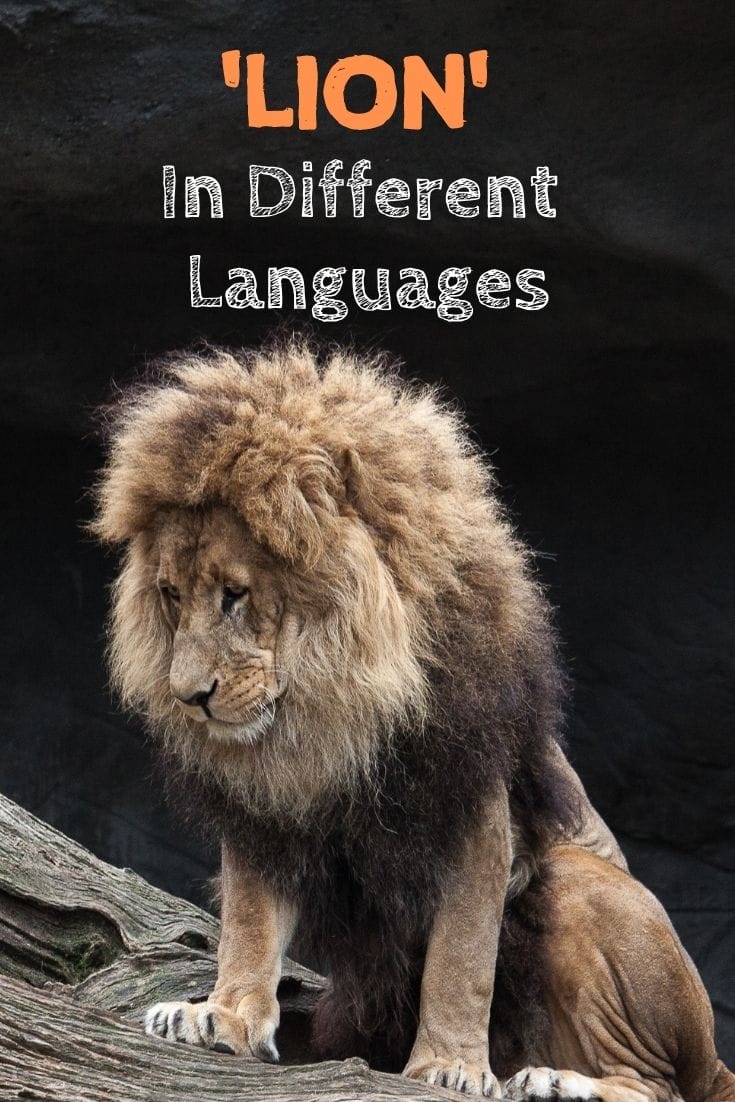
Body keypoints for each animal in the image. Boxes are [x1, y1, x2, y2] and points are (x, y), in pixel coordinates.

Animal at [92, 344, 733, 1101]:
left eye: (234, 594)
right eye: (169, 594)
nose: (189, 695)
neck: (329, 712)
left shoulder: (474, 800)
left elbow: (462, 951)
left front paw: (449, 1065)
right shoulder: (264, 809)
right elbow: (249, 916)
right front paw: (224, 1016)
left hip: (579, 885)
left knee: (656, 1084)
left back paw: (550, 1080)